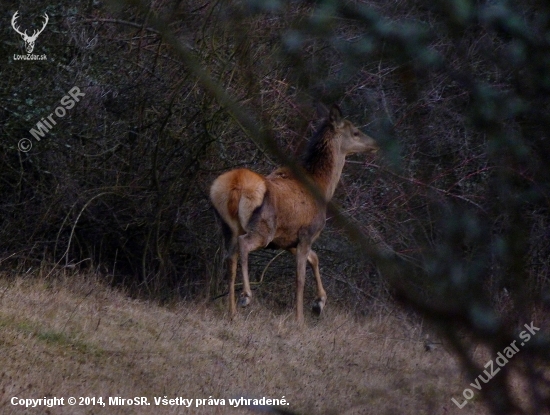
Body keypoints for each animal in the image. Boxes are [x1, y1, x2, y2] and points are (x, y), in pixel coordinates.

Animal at [210, 104, 380, 324]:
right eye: (355, 132)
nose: (376, 143)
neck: (323, 188)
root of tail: (234, 185)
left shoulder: (287, 240)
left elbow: (315, 258)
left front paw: (319, 303)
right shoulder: (307, 233)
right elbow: (300, 278)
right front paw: (300, 319)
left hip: (227, 227)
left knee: (230, 260)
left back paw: (232, 313)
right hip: (263, 228)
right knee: (244, 244)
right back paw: (246, 296)